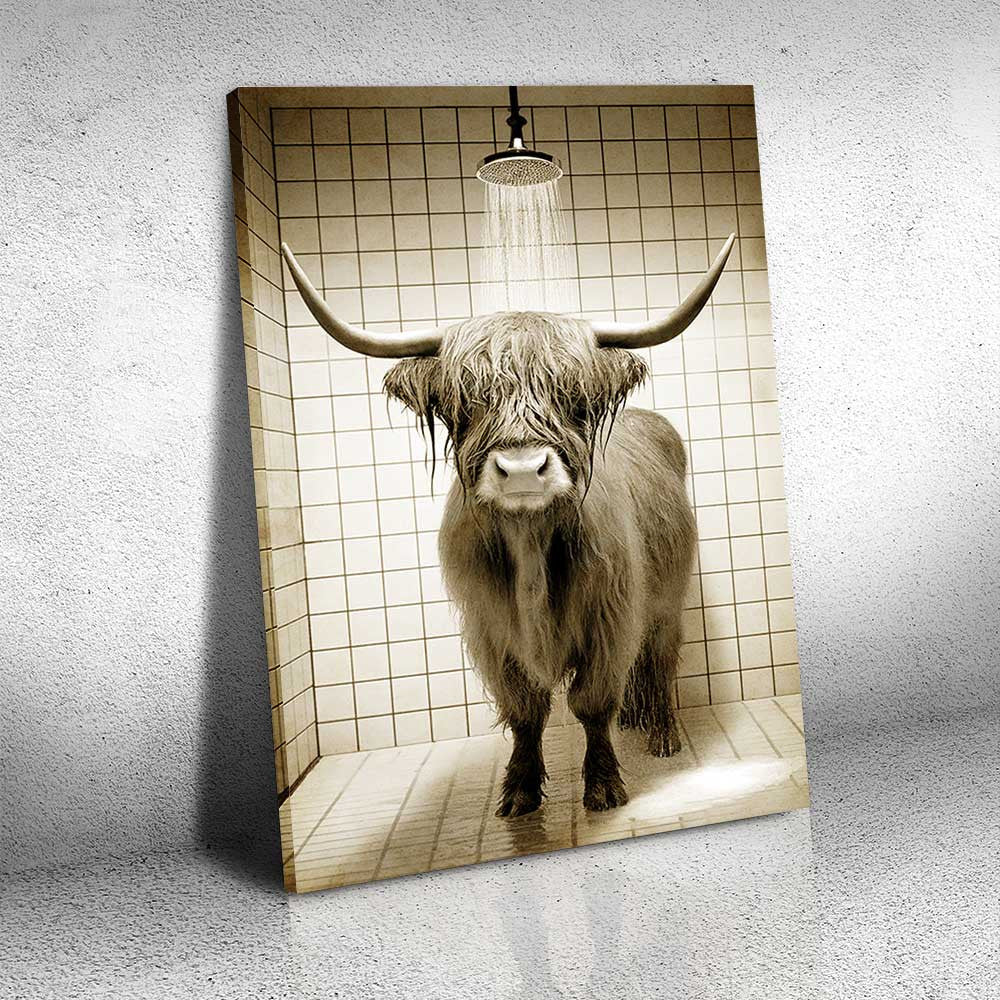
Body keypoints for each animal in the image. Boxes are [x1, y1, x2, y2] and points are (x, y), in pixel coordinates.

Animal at [282, 235, 735, 815]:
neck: (530, 541)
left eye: (573, 396)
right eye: (467, 400)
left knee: (658, 659)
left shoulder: (609, 615)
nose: (521, 469)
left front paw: (603, 785)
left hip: (667, 600)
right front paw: (519, 790)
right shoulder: (490, 627)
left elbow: (591, 703)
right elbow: (524, 710)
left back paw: (661, 734)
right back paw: (635, 722)